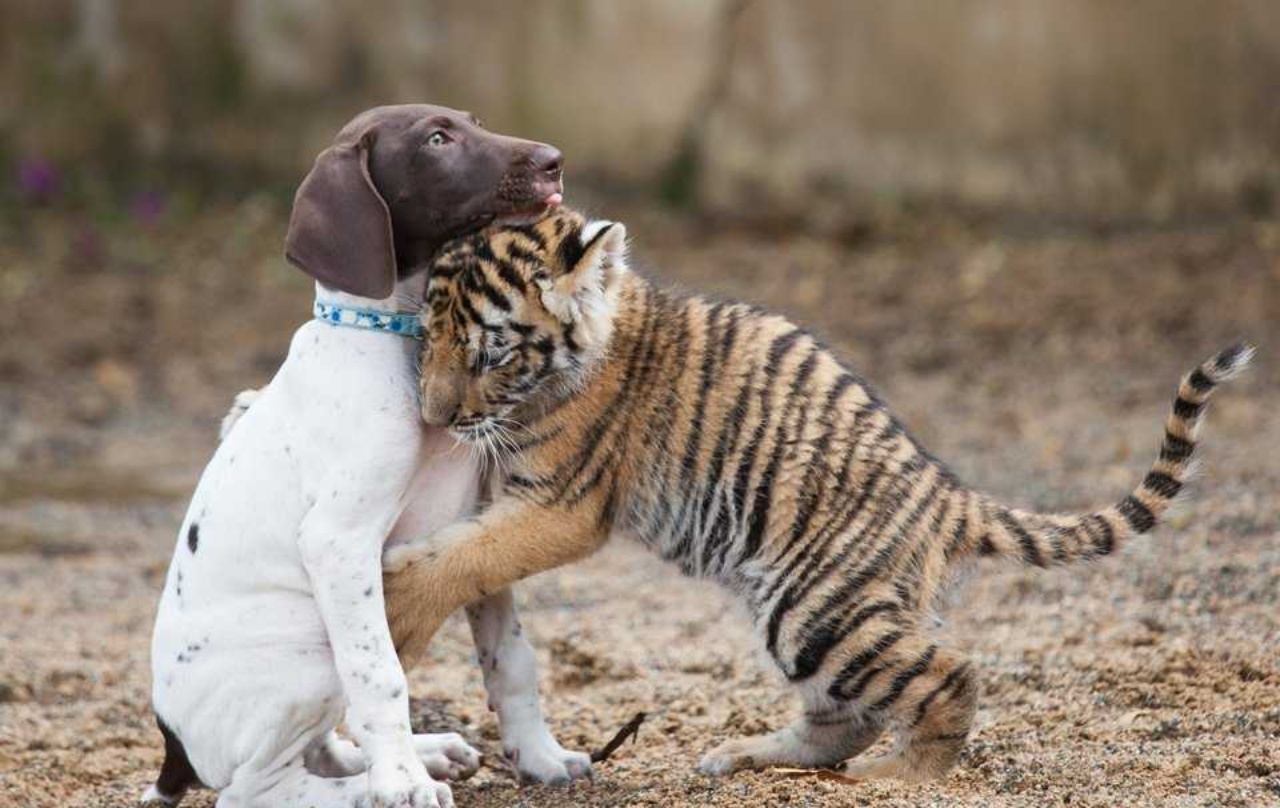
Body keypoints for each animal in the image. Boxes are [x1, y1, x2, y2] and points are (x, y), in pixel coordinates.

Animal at [144, 107, 588, 808]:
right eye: (437, 139)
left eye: (473, 122)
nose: (554, 160)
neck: (398, 341)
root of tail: (174, 748)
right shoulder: (339, 541)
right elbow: (380, 676)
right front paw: (402, 783)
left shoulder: (480, 523)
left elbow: (510, 658)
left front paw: (539, 755)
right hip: (307, 655)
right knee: (256, 790)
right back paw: (377, 784)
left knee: (320, 749)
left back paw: (422, 755)